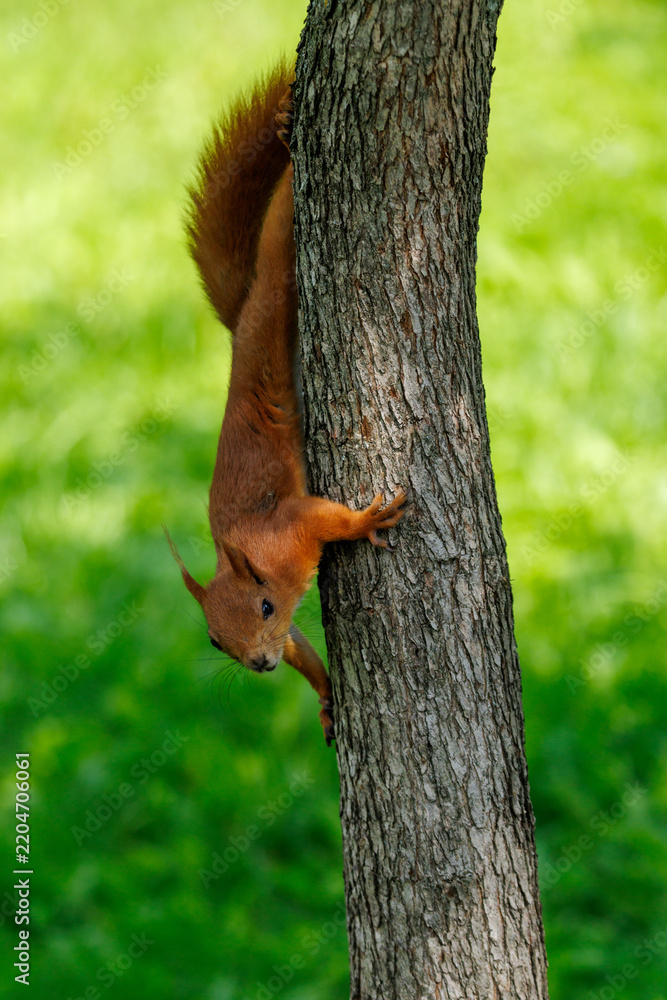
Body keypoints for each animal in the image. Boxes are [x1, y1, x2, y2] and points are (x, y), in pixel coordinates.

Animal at [168, 62, 406, 745]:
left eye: (265, 605)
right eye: (214, 642)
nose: (259, 664)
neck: (250, 562)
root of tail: (239, 322)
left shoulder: (288, 534)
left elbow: (325, 520)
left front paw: (364, 521)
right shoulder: (285, 617)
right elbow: (303, 648)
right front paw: (325, 696)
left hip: (277, 284)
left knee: (280, 229)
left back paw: (291, 146)